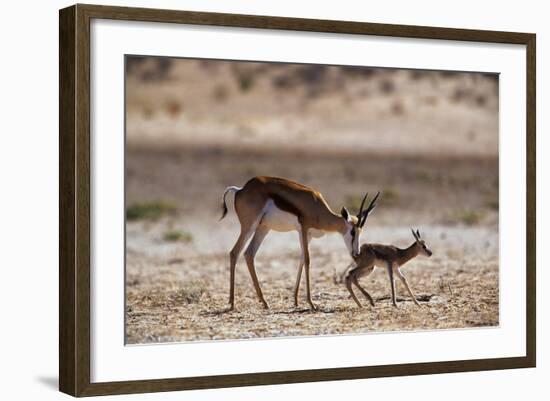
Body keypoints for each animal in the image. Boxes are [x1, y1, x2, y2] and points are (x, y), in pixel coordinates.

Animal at [220, 177, 380, 310]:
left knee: (249, 254)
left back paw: (264, 302)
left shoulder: (308, 235)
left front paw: (296, 301)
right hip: (249, 226)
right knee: (235, 252)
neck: (316, 206)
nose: (356, 253)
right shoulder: (303, 229)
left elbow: (302, 259)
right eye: (352, 232)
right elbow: (308, 260)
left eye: (360, 232)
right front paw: (311, 303)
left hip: (263, 228)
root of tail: (240, 189)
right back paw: (232, 303)